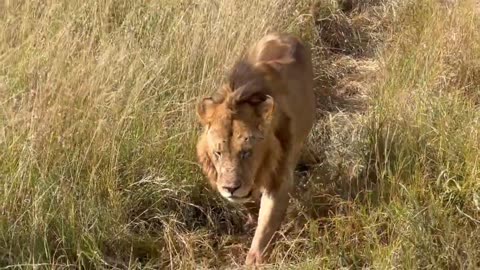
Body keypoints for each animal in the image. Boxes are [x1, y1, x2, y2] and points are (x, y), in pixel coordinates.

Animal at [195, 32, 316, 266]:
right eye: (218, 153)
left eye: (247, 152)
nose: (230, 188)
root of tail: (284, 35)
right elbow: (249, 202)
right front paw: (249, 214)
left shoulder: (279, 178)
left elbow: (266, 225)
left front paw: (255, 261)